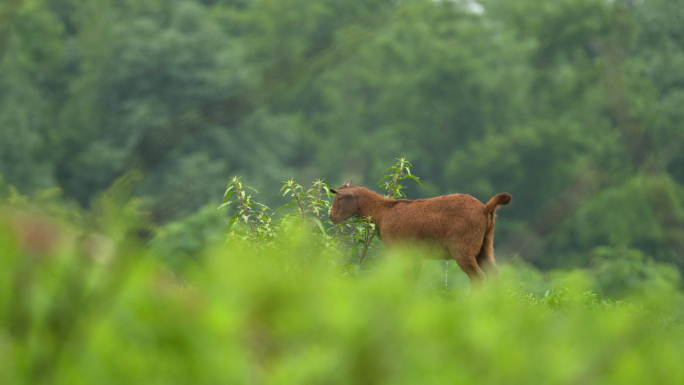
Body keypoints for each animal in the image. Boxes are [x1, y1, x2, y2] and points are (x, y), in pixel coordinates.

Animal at [328, 180, 510, 288]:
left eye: (340, 199)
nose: (331, 217)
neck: (382, 212)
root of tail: (485, 208)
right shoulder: (415, 255)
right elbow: (413, 279)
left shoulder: (397, 251)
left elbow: (405, 278)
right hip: (485, 247)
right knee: (493, 273)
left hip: (463, 249)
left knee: (477, 278)